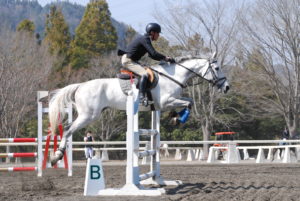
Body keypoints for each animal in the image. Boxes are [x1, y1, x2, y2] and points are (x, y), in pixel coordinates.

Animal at [49, 53, 229, 165]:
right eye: (217, 68)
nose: (227, 87)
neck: (173, 76)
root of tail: (80, 86)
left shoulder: (170, 101)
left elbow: (189, 101)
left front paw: (175, 116)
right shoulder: (166, 101)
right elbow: (188, 104)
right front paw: (178, 118)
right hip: (88, 115)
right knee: (67, 129)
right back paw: (57, 156)